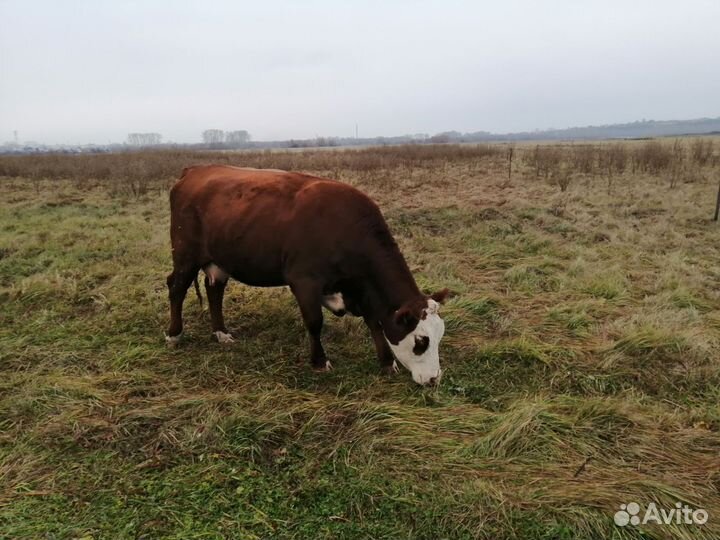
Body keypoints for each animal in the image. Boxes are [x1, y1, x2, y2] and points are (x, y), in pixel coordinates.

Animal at [166, 165, 449, 385]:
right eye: (421, 341)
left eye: (439, 336)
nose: (434, 379)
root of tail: (195, 170)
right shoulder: (304, 281)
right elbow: (314, 322)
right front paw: (319, 361)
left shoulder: (361, 287)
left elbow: (374, 322)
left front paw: (387, 362)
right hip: (186, 254)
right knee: (176, 287)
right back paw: (174, 334)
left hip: (219, 259)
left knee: (214, 290)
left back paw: (221, 333)